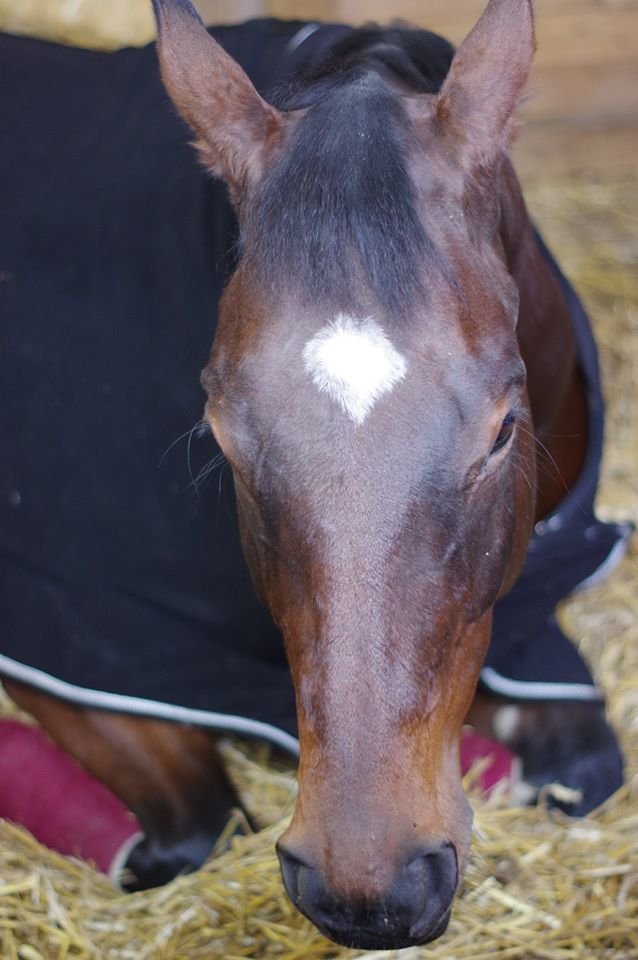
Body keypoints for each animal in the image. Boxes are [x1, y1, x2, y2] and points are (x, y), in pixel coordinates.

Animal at [0, 0, 632, 948]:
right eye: (224, 439)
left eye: (502, 433)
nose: (372, 890)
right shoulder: (69, 632)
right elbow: (196, 830)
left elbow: (582, 765)